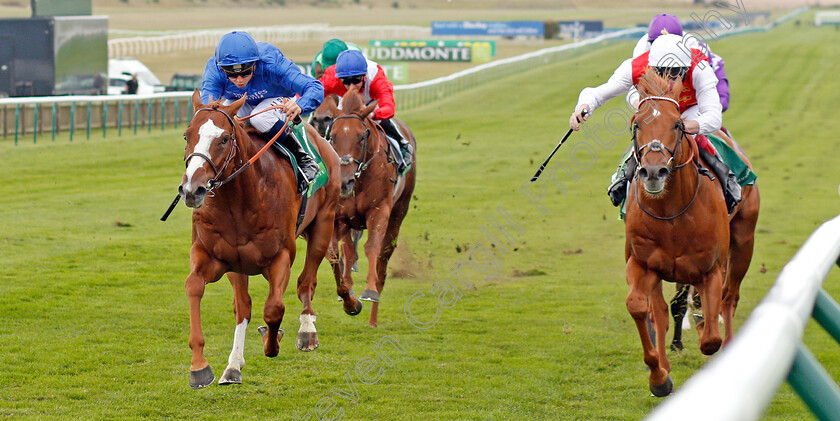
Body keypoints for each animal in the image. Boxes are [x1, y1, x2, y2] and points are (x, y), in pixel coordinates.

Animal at [179, 90, 340, 388]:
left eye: (224, 138)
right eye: (187, 135)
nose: (192, 190)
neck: (243, 201)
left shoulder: (281, 257)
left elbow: (274, 308)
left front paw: (272, 341)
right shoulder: (221, 258)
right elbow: (199, 288)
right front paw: (202, 367)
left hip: (324, 222)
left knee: (306, 281)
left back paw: (307, 331)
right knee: (245, 305)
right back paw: (233, 365)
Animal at [324, 85, 416, 326]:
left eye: (362, 136)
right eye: (332, 136)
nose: (345, 181)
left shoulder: (379, 210)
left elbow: (372, 247)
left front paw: (370, 291)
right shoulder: (339, 216)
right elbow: (336, 253)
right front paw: (348, 298)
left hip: (400, 210)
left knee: (384, 255)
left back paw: (373, 318)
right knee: (348, 250)